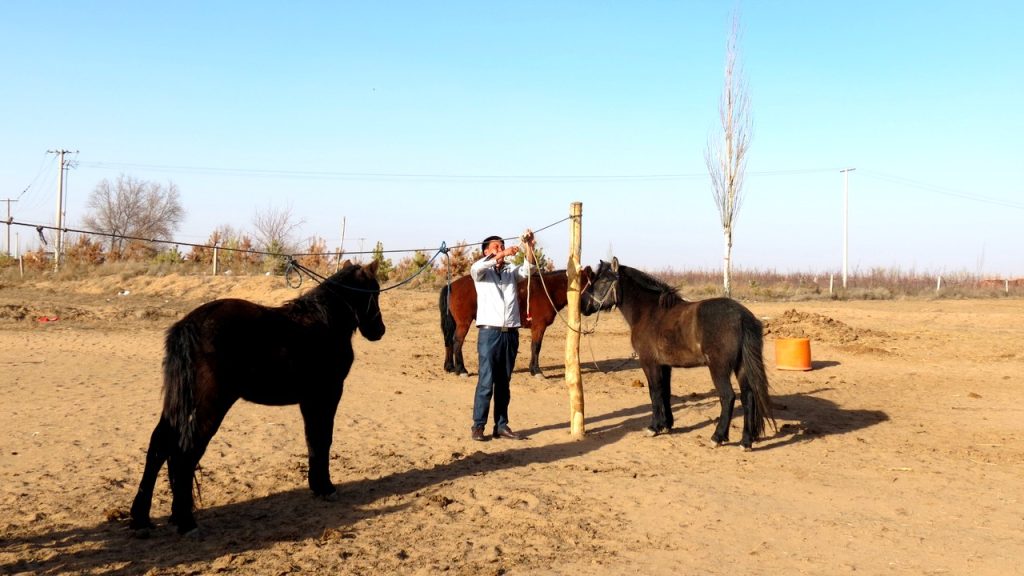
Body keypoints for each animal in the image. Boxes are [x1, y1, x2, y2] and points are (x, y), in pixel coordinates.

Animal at [129, 260, 386, 535]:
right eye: (375, 291)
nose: (379, 330)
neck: (323, 322)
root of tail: (189, 325)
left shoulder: (309, 400)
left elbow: (313, 440)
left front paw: (317, 486)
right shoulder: (328, 394)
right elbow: (323, 439)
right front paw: (326, 487)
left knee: (158, 447)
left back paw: (141, 517)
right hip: (210, 407)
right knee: (184, 454)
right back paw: (185, 520)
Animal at [439, 267, 590, 378]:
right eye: (591, 285)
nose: (591, 308)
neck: (547, 290)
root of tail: (451, 286)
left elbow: (533, 347)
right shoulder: (539, 327)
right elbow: (536, 347)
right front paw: (536, 371)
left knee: (449, 341)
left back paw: (450, 367)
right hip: (463, 323)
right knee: (457, 341)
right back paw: (461, 369)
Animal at [581, 258, 775, 449]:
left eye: (603, 281)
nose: (583, 306)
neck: (649, 312)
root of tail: (742, 316)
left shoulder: (649, 363)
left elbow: (654, 392)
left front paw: (654, 427)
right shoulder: (665, 366)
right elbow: (665, 392)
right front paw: (666, 425)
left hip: (718, 368)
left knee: (728, 397)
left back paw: (717, 437)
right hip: (741, 367)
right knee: (748, 397)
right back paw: (746, 441)